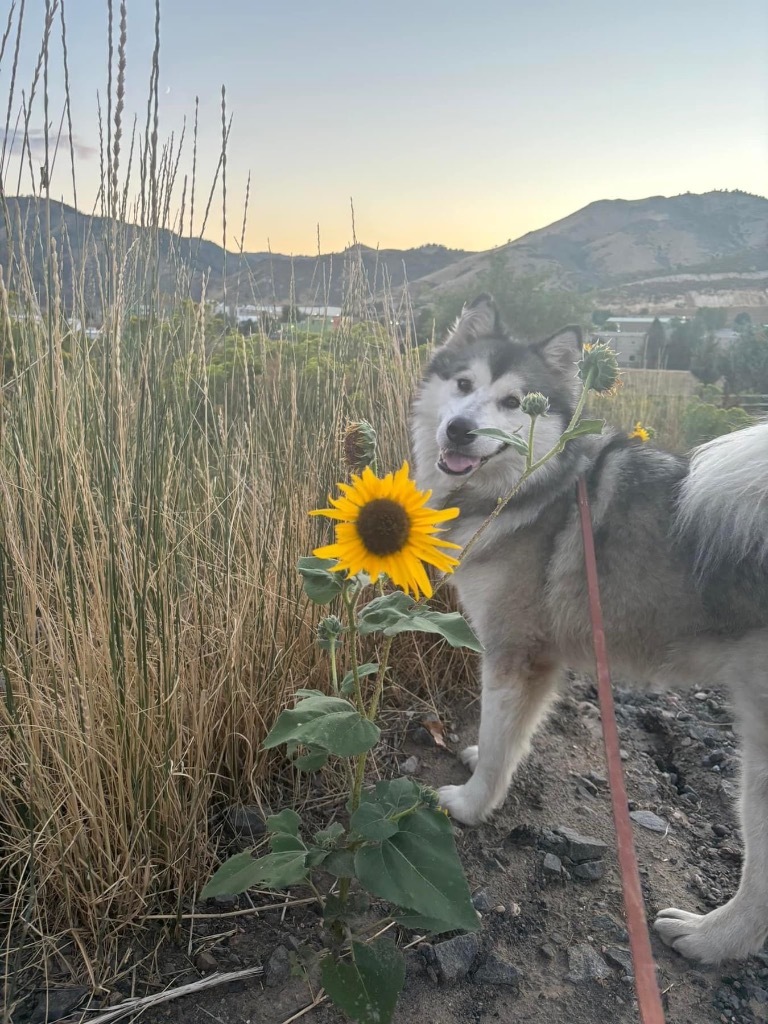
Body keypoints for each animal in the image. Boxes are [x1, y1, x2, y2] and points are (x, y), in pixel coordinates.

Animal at [411, 292, 768, 962]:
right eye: (464, 385)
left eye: (512, 401)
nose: (460, 429)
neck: (536, 488)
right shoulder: (541, 662)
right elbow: (507, 740)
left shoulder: (515, 653)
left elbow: (498, 743)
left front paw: (471, 804)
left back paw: (709, 938)